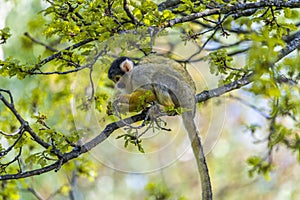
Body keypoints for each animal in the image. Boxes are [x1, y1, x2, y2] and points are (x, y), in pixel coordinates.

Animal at [108, 54, 211, 200]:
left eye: (117, 79)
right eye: (114, 80)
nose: (117, 85)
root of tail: (192, 105)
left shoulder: (138, 75)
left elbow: (148, 91)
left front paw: (120, 99)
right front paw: (119, 107)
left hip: (181, 92)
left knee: (159, 77)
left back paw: (166, 107)